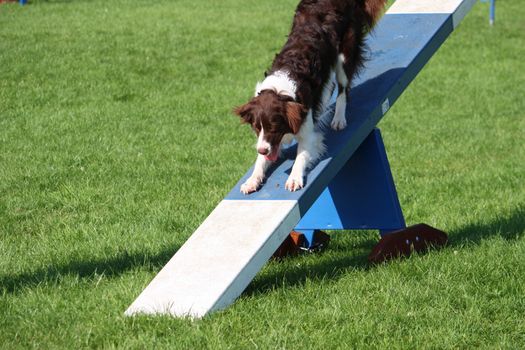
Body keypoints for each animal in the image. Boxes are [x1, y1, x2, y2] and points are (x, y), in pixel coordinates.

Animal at [233, 0, 384, 194]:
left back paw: (338, 118)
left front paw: (294, 179)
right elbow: (261, 161)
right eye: (256, 128)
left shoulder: (305, 129)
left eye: (274, 127)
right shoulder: (268, 141)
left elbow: (301, 156)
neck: (280, 89)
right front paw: (252, 180)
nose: (261, 150)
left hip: (344, 53)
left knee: (343, 88)